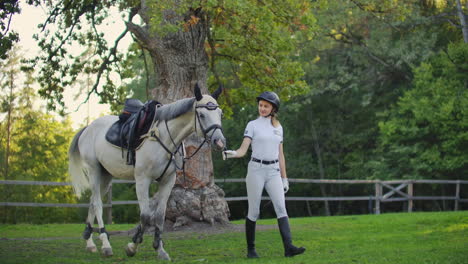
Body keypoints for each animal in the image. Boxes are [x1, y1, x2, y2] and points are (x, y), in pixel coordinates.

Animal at [67, 85, 225, 260]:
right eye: (202, 115)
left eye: (220, 114)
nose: (219, 142)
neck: (164, 136)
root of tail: (88, 128)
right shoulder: (143, 180)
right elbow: (146, 215)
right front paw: (132, 246)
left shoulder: (168, 181)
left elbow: (160, 216)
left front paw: (160, 249)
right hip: (94, 170)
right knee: (97, 204)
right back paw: (105, 244)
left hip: (106, 176)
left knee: (92, 202)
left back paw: (90, 242)